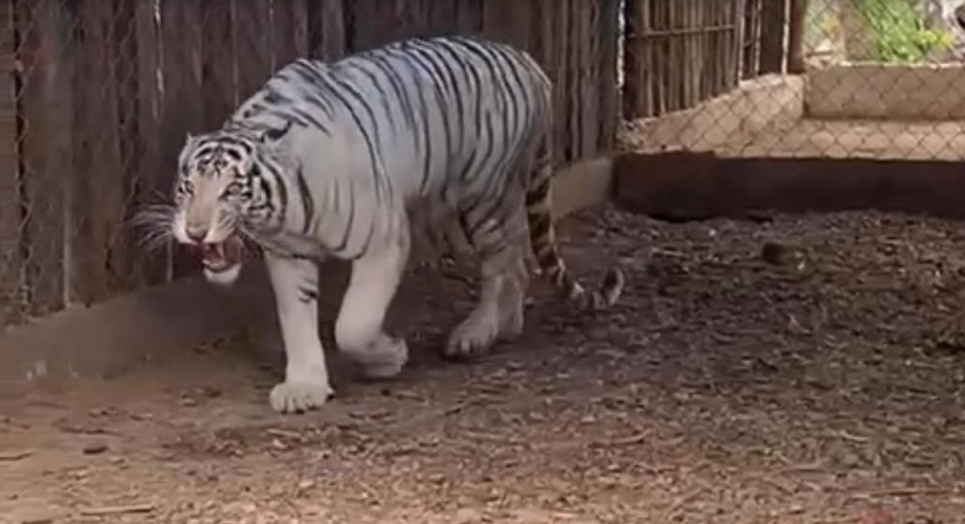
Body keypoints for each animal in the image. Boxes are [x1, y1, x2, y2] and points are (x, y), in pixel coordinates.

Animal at [144, 34, 624, 416]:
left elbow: (354, 325)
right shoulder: (288, 255)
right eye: (187, 187)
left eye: (231, 189)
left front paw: (390, 357)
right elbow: (296, 320)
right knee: (518, 255)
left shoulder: (384, 241)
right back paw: (507, 325)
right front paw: (305, 387)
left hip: (484, 194)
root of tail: (528, 61)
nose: (195, 231)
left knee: (502, 262)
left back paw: (477, 333)